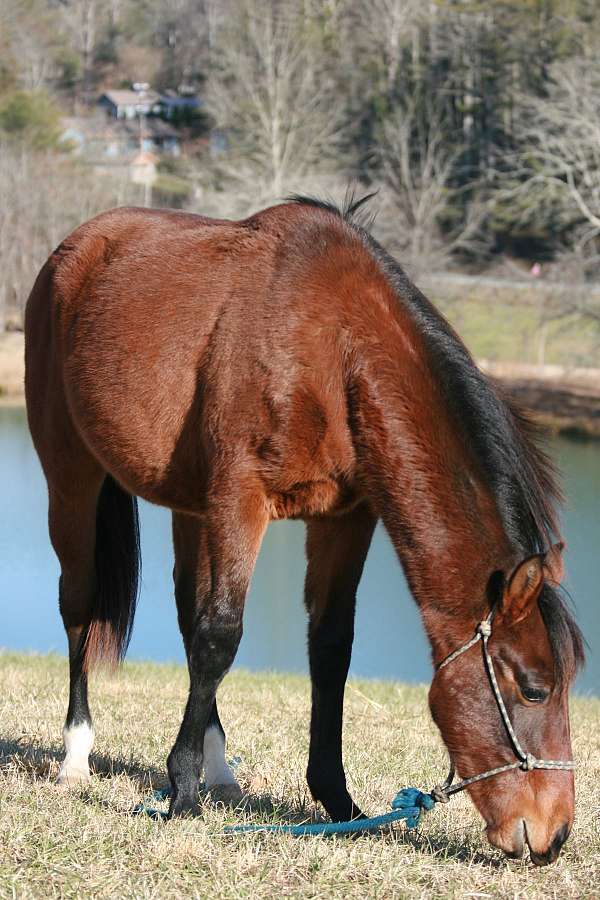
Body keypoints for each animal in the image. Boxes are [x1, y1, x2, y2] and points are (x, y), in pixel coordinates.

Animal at [25, 195, 584, 864]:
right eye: (533, 688)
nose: (553, 835)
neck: (335, 355)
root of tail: (74, 249)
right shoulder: (241, 499)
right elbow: (220, 637)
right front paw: (179, 792)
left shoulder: (345, 518)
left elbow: (329, 648)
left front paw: (336, 799)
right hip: (73, 477)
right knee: (81, 605)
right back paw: (78, 756)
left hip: (190, 507)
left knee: (186, 613)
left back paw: (219, 768)